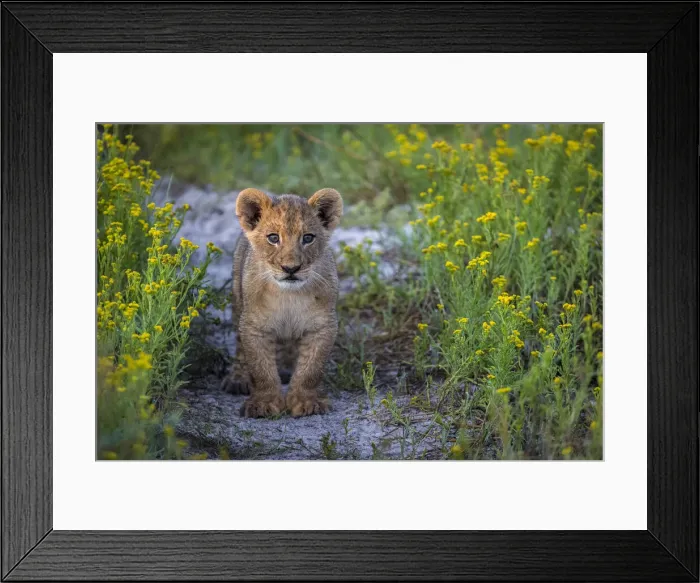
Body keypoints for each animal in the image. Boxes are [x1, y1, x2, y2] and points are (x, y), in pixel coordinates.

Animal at [220, 187, 343, 418]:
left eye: (308, 238)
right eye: (273, 238)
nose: (291, 268)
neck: (289, 296)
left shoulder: (323, 325)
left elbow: (311, 369)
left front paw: (305, 402)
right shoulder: (254, 325)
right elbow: (260, 368)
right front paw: (263, 404)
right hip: (238, 301)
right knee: (240, 347)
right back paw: (237, 379)